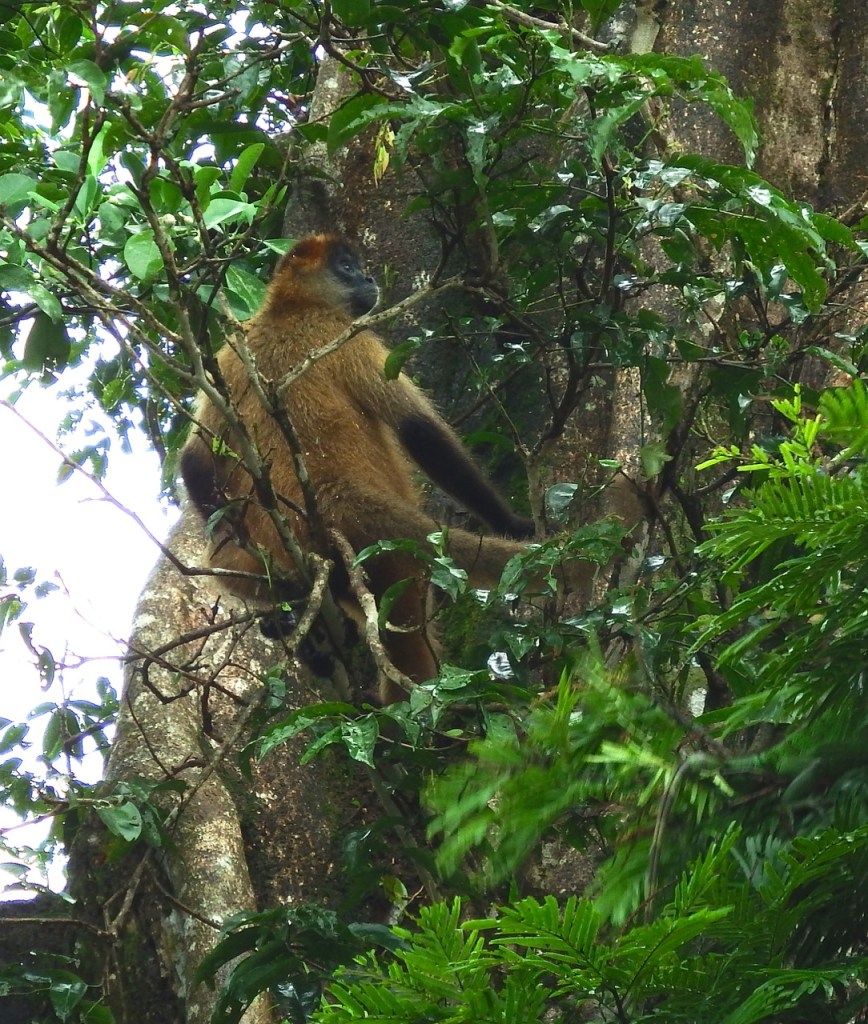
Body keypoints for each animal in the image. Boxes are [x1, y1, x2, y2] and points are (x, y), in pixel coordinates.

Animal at [181, 234, 538, 701]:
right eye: (347, 267)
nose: (369, 278)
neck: (287, 310)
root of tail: (339, 497)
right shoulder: (344, 333)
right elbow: (418, 430)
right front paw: (513, 524)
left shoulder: (230, 352)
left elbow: (195, 460)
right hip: (398, 567)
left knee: (223, 551)